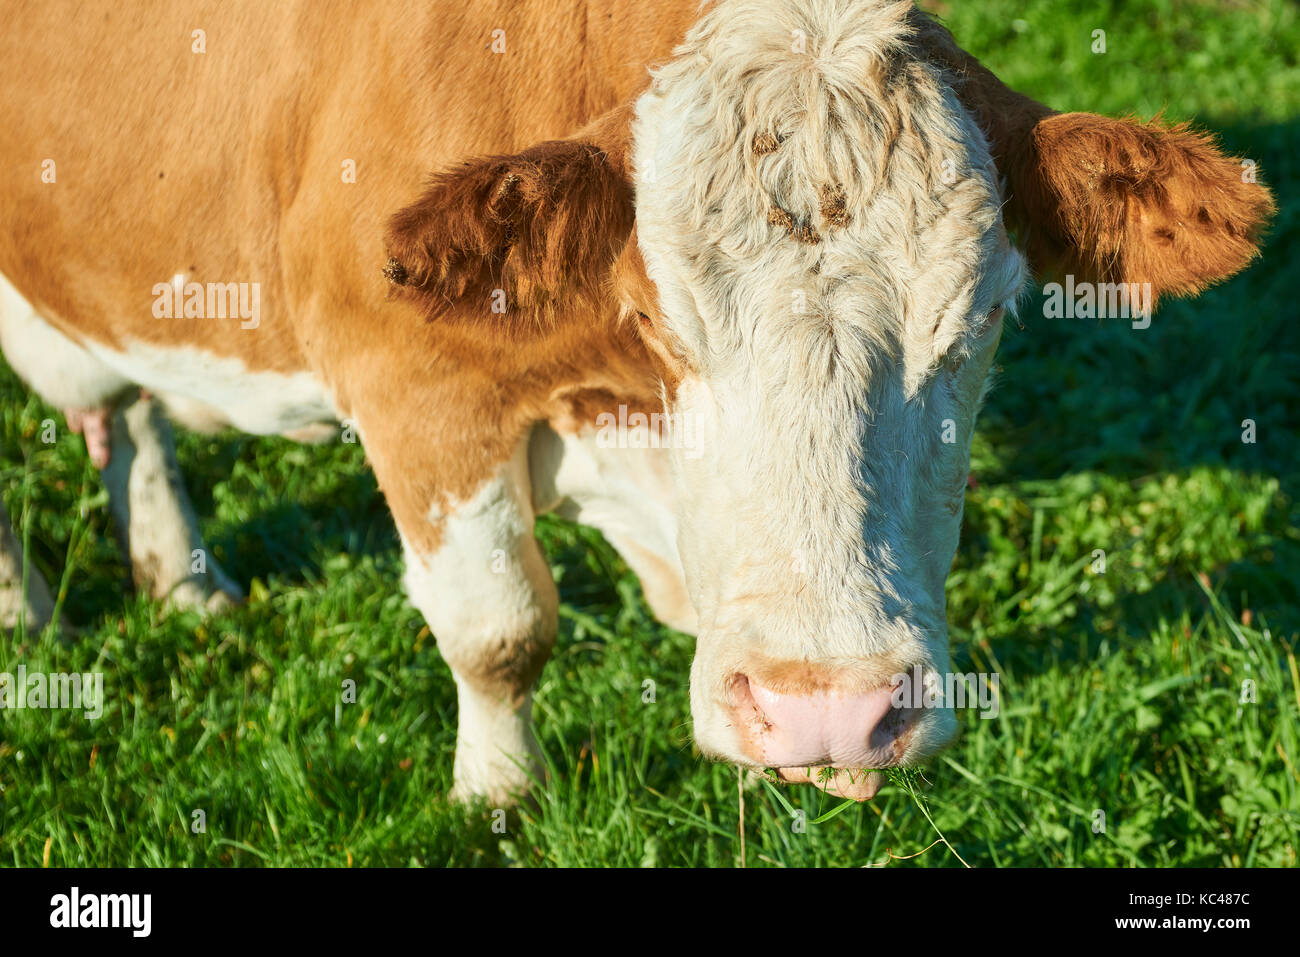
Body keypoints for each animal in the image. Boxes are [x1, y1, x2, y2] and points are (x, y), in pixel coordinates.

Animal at [0, 0, 1272, 804]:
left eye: (980, 324)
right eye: (660, 323)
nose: (830, 714)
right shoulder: (414, 385)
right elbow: (499, 626)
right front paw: (500, 797)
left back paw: (182, 578)